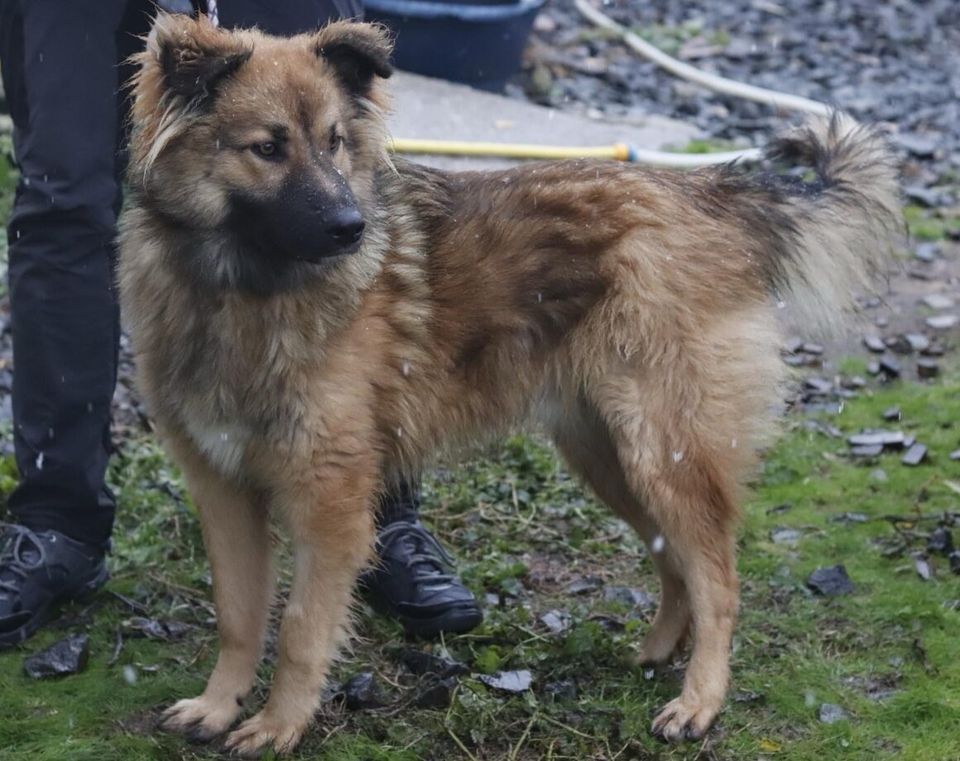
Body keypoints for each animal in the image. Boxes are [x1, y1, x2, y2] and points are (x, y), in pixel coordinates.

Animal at [116, 11, 904, 756]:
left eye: (335, 141)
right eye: (267, 147)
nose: (352, 226)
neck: (237, 290)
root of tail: (714, 194)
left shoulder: (330, 499)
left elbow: (304, 626)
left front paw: (280, 723)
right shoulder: (223, 489)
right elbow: (239, 614)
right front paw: (218, 706)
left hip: (661, 450)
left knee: (719, 579)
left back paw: (699, 700)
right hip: (607, 455)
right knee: (676, 559)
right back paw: (657, 652)